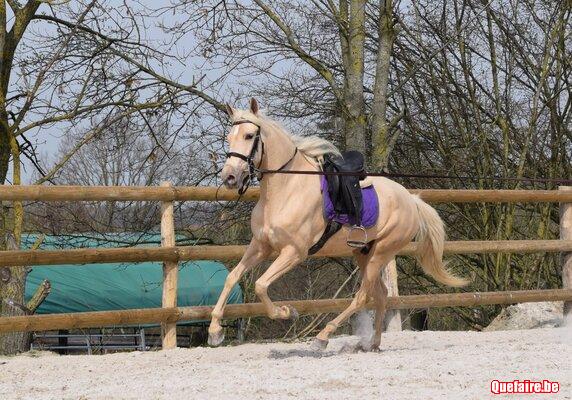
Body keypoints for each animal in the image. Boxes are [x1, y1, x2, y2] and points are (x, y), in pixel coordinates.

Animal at [208, 98, 467, 351]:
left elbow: (261, 285)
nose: (229, 177)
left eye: (249, 135)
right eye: (229, 138)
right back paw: (373, 344)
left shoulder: (294, 252)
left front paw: (287, 312)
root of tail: (411, 199)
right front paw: (215, 331)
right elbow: (232, 277)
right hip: (364, 252)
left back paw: (323, 337)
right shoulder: (261, 245)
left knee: (363, 296)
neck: (287, 188)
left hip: (381, 252)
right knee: (381, 295)